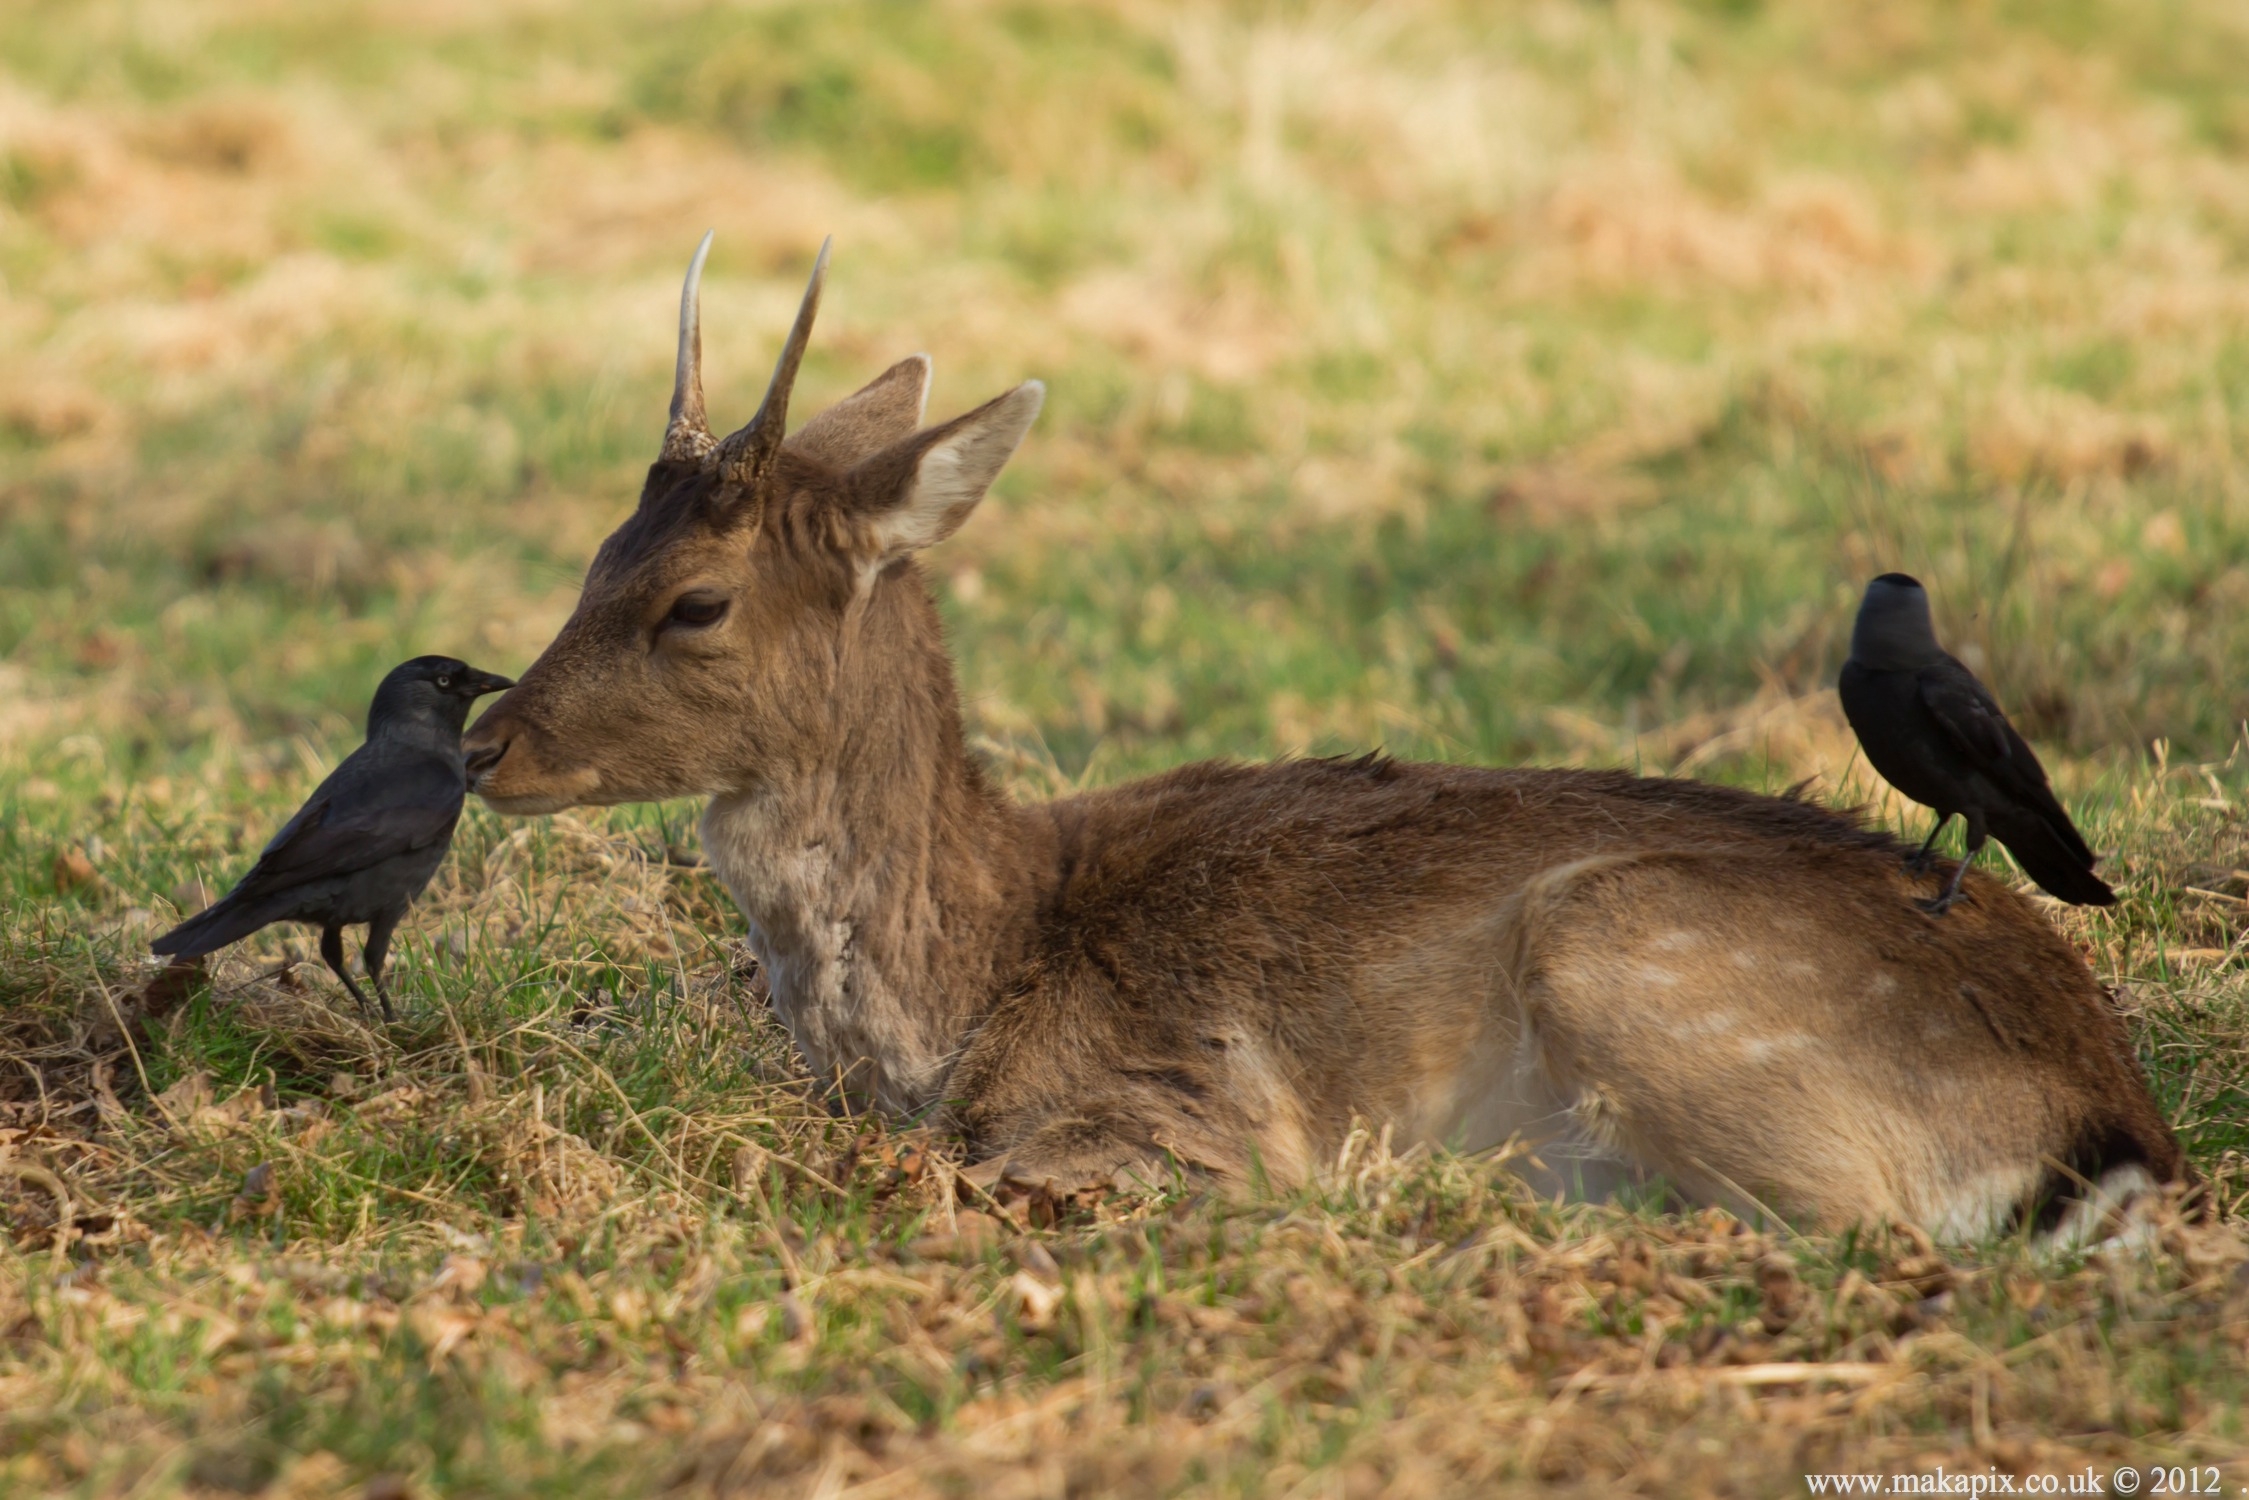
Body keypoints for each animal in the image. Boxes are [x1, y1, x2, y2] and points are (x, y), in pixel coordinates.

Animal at [465, 235, 2186, 1241]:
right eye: (598, 554)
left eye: (694, 601)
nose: (488, 748)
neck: (965, 993)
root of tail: (2107, 1121)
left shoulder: (1186, 1108)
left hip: (1631, 952)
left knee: (1836, 1219)